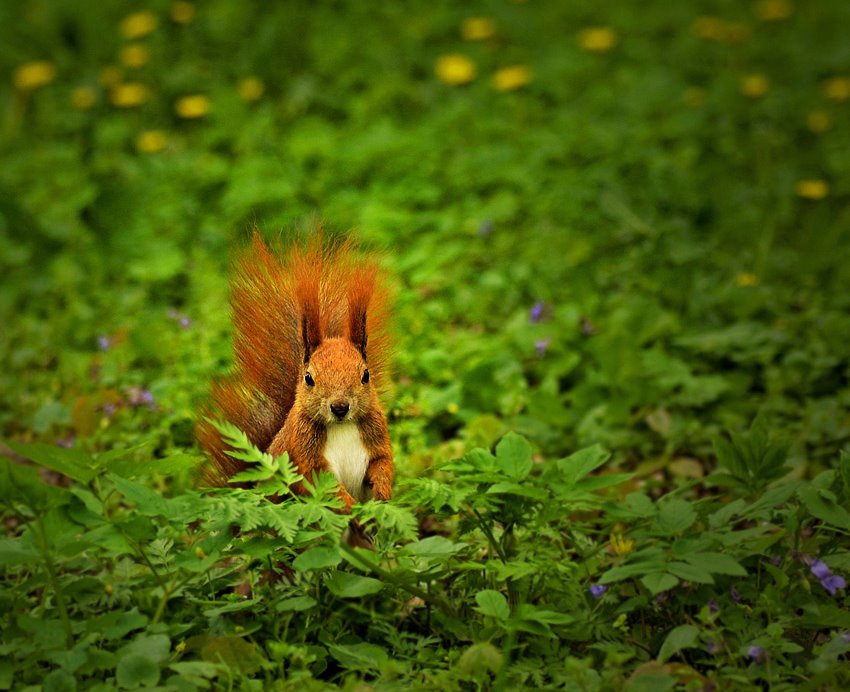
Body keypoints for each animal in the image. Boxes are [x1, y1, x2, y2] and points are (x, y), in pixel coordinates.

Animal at [199, 232, 394, 512]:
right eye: (308, 378)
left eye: (365, 375)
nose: (340, 407)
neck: (342, 427)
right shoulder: (303, 454)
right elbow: (321, 483)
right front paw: (349, 506)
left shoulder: (377, 437)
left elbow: (383, 462)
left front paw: (382, 493)